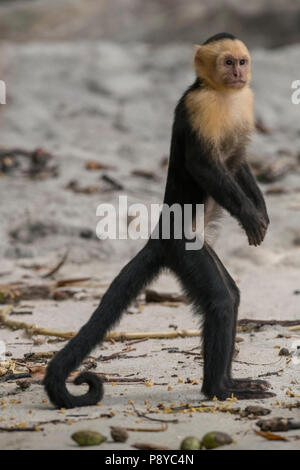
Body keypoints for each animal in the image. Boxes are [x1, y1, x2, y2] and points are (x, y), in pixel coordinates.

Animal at [44, 33, 274, 408]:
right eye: (228, 62)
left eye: (242, 62)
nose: (238, 73)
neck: (223, 94)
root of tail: (161, 233)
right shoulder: (200, 106)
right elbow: (204, 165)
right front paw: (248, 216)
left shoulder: (245, 101)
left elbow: (237, 161)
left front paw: (261, 213)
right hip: (184, 249)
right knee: (221, 301)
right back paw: (218, 389)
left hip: (198, 245)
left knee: (231, 295)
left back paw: (228, 381)